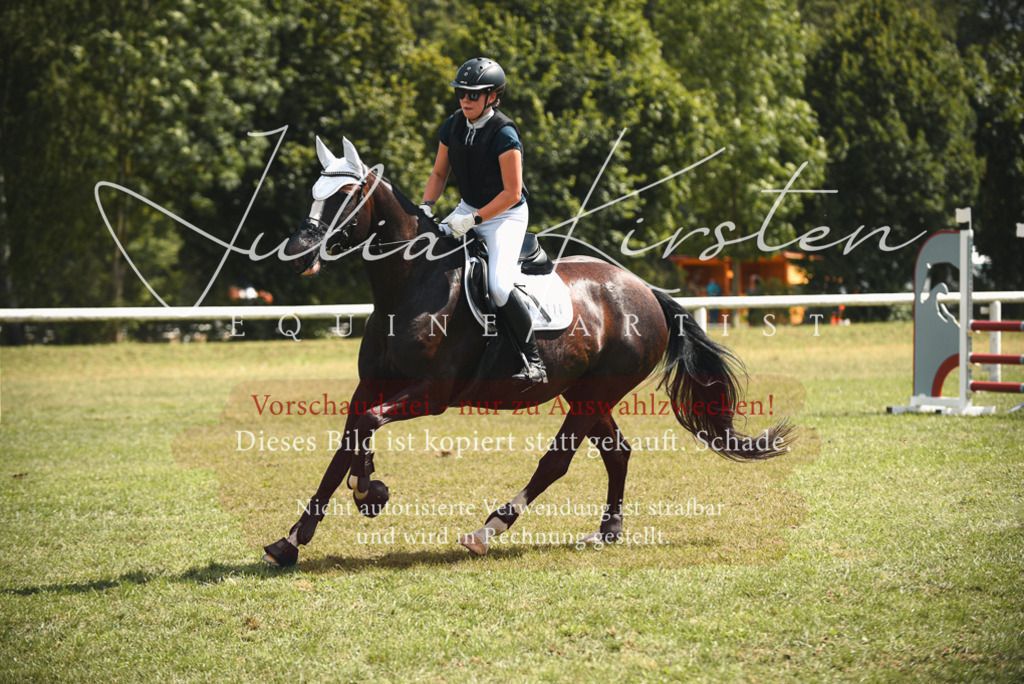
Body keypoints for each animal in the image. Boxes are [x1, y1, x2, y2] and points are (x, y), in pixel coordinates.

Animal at [261, 136, 793, 566]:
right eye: (313, 192)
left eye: (344, 197)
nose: (297, 253)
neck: (409, 286)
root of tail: (642, 288)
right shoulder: (370, 386)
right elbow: (349, 438)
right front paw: (294, 538)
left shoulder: (432, 393)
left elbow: (368, 425)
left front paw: (369, 490)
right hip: (586, 393)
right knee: (616, 452)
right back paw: (607, 531)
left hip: (594, 394)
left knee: (556, 462)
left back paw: (488, 530)